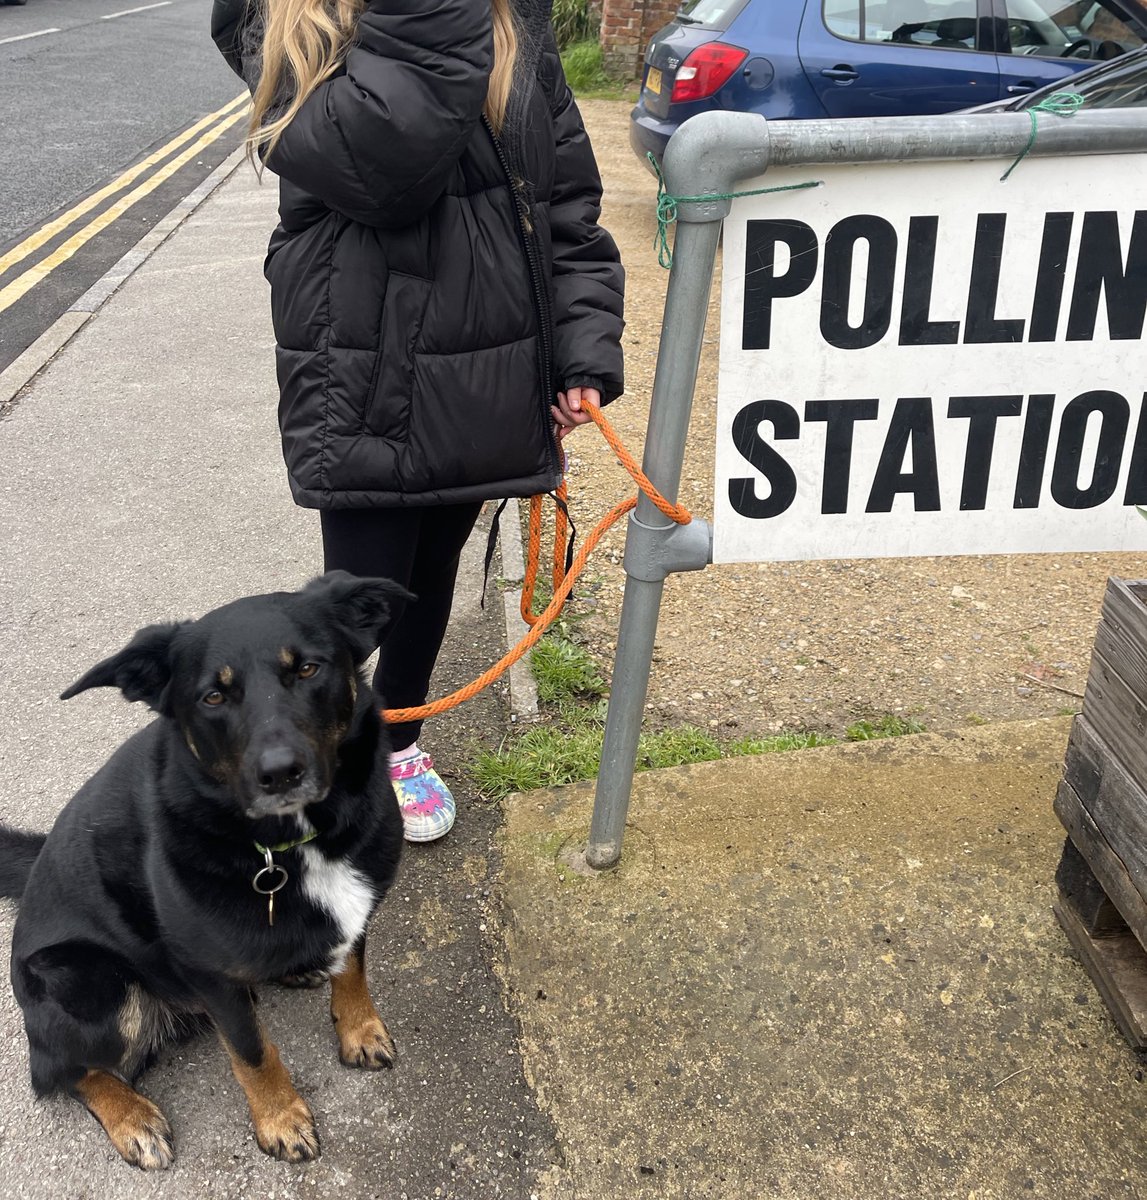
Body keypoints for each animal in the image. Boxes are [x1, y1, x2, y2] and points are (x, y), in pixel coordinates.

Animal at [0, 576, 412, 1166]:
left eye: (308, 669)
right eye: (212, 697)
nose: (280, 773)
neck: (292, 842)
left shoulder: (355, 914)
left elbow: (352, 969)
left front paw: (359, 1028)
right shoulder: (212, 979)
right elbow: (253, 1051)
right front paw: (279, 1117)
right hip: (96, 983)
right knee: (62, 1073)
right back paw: (131, 1118)